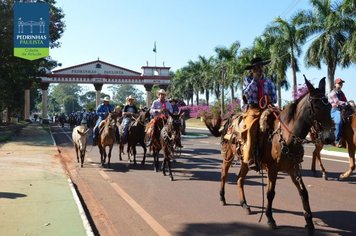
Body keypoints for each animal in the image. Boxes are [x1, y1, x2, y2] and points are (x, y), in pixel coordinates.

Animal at [204, 78, 336, 232]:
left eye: (329, 106)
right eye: (316, 106)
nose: (329, 137)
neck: (286, 136)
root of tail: (230, 119)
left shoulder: (294, 169)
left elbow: (303, 192)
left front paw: (309, 222)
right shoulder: (272, 169)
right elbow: (270, 193)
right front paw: (270, 218)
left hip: (245, 160)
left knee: (240, 179)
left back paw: (244, 204)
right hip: (228, 156)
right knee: (224, 175)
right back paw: (222, 198)